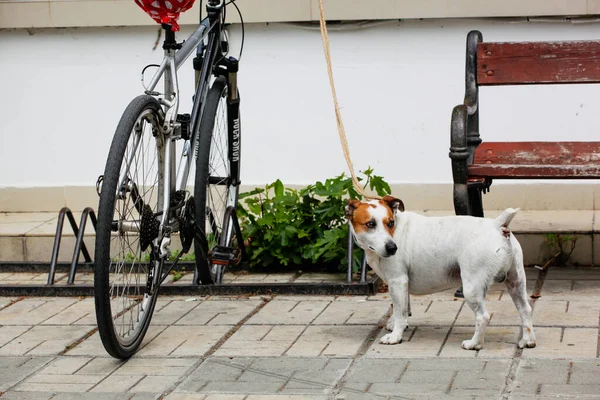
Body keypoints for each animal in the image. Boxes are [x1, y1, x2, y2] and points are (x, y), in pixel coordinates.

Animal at [344, 196, 536, 350]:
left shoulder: (397, 281)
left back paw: (474, 344)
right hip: (516, 281)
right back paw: (527, 341)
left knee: (483, 317)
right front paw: (397, 324)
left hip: (472, 288)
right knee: (525, 309)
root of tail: (496, 225)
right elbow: (403, 309)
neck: (397, 230)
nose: (392, 248)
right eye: (370, 224)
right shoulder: (402, 284)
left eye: (390, 223)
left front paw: (395, 336)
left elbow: (399, 311)